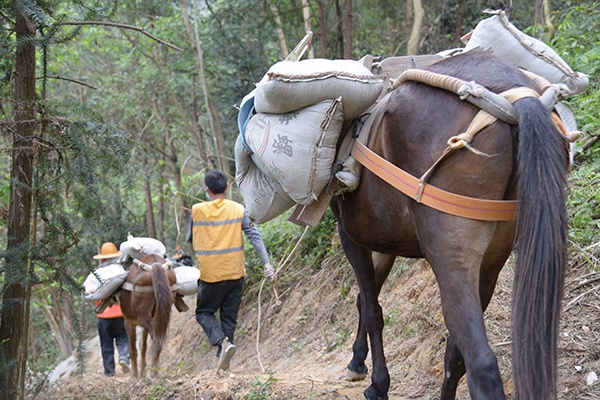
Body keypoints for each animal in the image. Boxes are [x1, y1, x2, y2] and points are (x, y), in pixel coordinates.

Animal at [330, 50, 568, 400]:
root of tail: (516, 94)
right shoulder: (386, 243)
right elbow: (366, 299)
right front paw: (357, 361)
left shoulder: (351, 236)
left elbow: (371, 308)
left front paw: (376, 383)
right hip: (491, 260)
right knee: (456, 355)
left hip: (449, 255)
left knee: (481, 363)